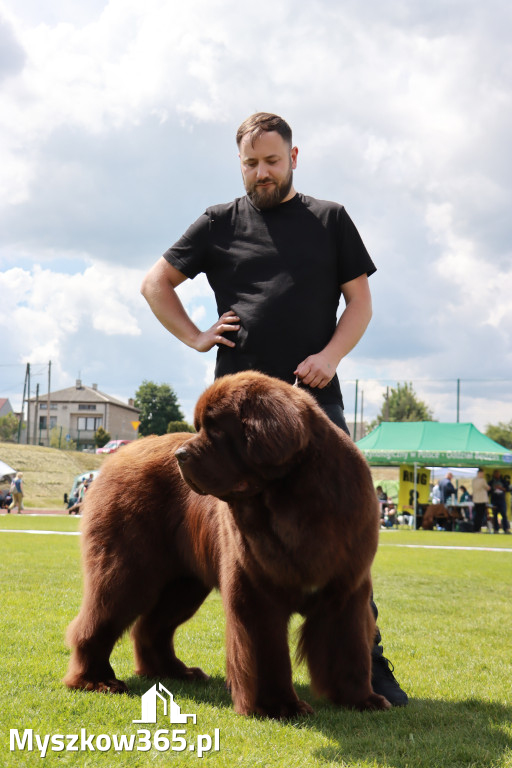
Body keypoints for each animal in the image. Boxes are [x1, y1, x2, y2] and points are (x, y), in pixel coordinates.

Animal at [65, 368, 392, 716]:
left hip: (184, 584)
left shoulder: (346, 590)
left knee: (151, 627)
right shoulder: (256, 591)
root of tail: (118, 456)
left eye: (217, 429)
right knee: (97, 622)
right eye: (200, 428)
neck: (293, 502)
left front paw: (360, 699)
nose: (180, 455)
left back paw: (173, 671)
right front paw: (278, 705)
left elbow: (348, 649)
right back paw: (96, 680)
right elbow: (267, 653)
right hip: (128, 571)